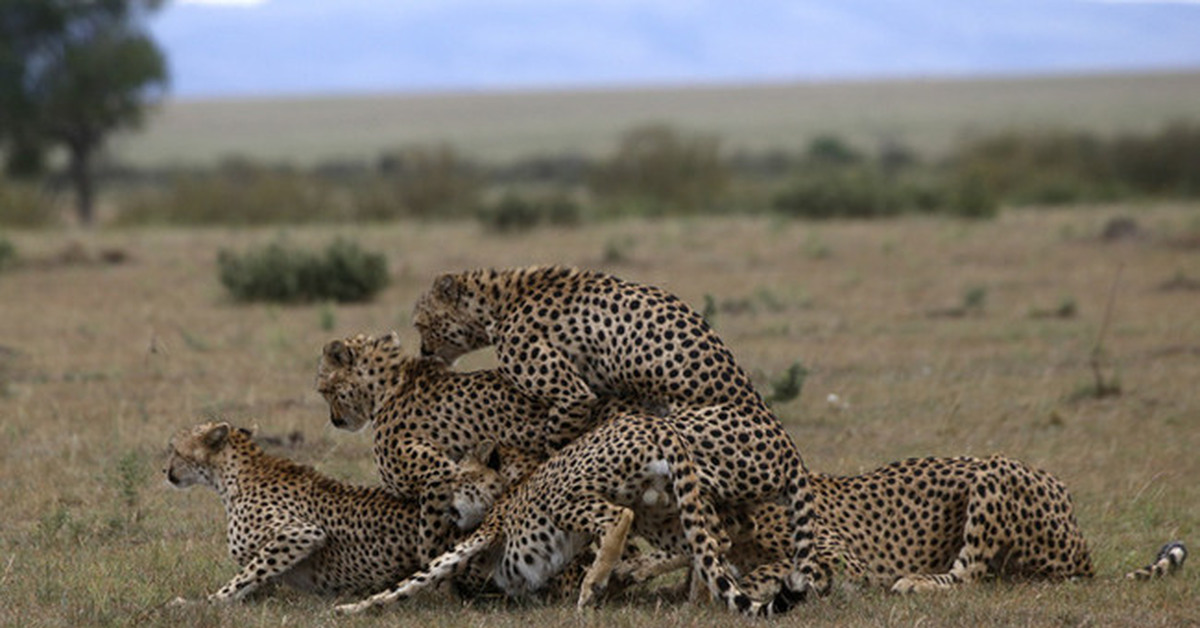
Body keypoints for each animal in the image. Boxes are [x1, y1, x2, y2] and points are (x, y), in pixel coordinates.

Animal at [163, 422, 511, 605]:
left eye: (176, 450)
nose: (166, 471)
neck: (231, 475)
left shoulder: (300, 534)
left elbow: (245, 576)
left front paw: (200, 603)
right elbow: (253, 579)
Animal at [412, 266, 825, 605]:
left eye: (420, 322)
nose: (424, 350)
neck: (498, 299)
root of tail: (790, 451)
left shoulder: (573, 394)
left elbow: (554, 446)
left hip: (674, 436)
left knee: (713, 530)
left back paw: (635, 572)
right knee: (729, 528)